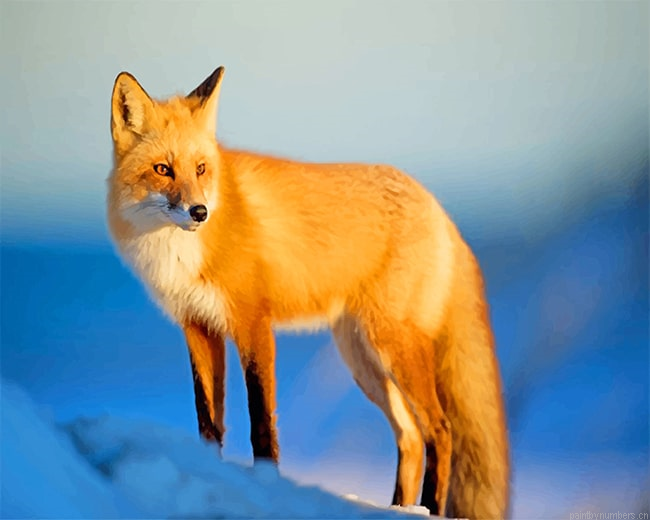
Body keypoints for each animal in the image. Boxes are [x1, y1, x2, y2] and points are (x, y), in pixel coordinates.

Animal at [106, 66, 510, 519]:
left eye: (201, 169)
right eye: (162, 169)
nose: (199, 212)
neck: (180, 252)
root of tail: (438, 209)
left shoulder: (253, 324)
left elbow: (261, 422)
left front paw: (268, 484)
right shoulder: (198, 327)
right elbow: (208, 421)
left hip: (393, 346)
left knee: (440, 430)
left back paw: (429, 508)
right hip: (363, 360)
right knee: (408, 436)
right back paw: (398, 507)